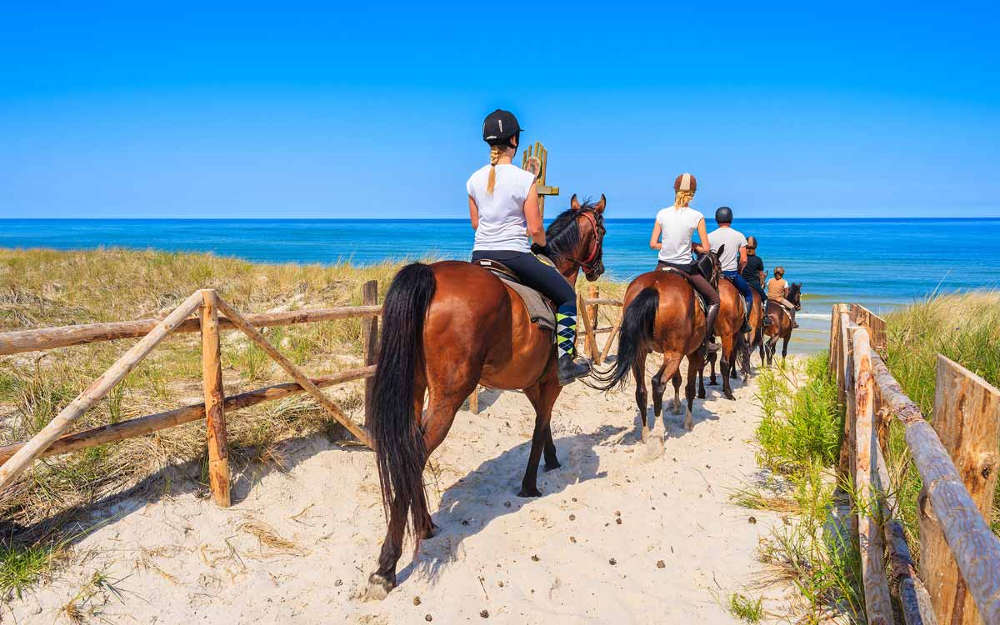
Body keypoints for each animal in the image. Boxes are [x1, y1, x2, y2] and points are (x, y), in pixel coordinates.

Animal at [364, 195, 604, 596]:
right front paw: (530, 484)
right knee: (416, 453)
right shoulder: (552, 381)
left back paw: (425, 525)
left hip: (415, 390)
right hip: (448, 396)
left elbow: (544, 424)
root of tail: (431, 276)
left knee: (409, 451)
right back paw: (387, 566)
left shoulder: (531, 383)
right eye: (602, 230)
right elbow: (540, 426)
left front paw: (551, 460)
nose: (599, 269)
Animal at [588, 247, 724, 434]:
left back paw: (646, 433)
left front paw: (676, 407)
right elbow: (689, 388)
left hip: (641, 353)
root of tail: (653, 288)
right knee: (658, 383)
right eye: (720, 268)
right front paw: (688, 422)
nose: (717, 290)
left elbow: (677, 380)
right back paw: (658, 433)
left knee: (641, 390)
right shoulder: (693, 353)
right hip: (674, 354)